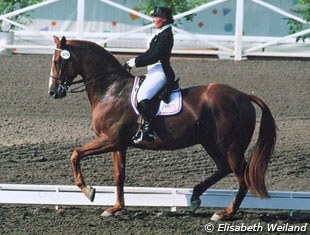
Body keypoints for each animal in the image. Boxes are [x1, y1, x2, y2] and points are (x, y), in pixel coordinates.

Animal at [49, 36, 278, 220]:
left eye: (59, 61)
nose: (53, 92)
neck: (111, 90)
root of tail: (242, 96)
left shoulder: (109, 139)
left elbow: (75, 154)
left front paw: (89, 191)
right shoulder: (118, 144)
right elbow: (119, 175)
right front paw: (115, 208)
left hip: (231, 147)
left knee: (241, 176)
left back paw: (224, 213)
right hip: (211, 143)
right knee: (224, 168)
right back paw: (195, 197)